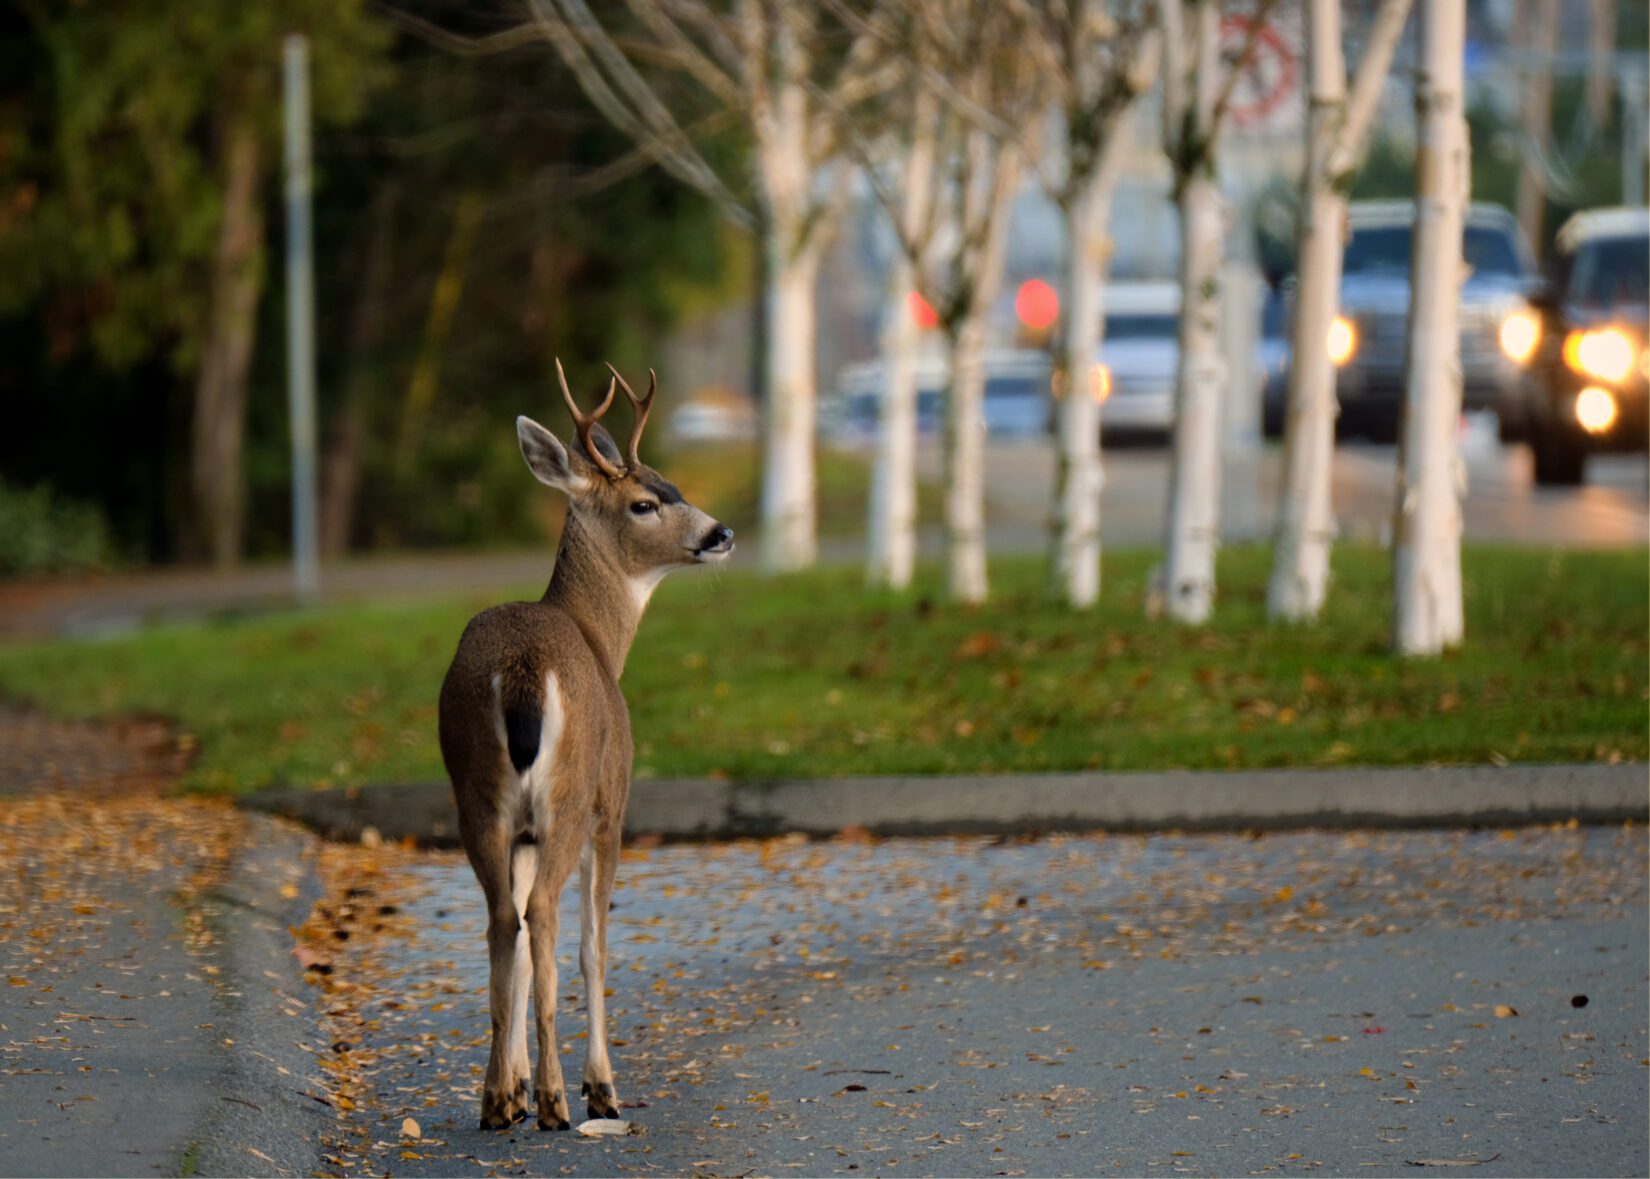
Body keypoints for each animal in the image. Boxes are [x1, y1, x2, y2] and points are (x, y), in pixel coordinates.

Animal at [435, 362, 732, 1134]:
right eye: (644, 502)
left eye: (673, 485)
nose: (721, 532)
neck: (601, 641)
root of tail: (521, 669)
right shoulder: (613, 804)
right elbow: (594, 947)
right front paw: (601, 1085)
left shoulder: (521, 827)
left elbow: (523, 947)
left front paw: (509, 1085)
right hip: (567, 797)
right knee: (542, 916)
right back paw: (557, 1099)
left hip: (476, 794)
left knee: (502, 921)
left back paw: (498, 1102)